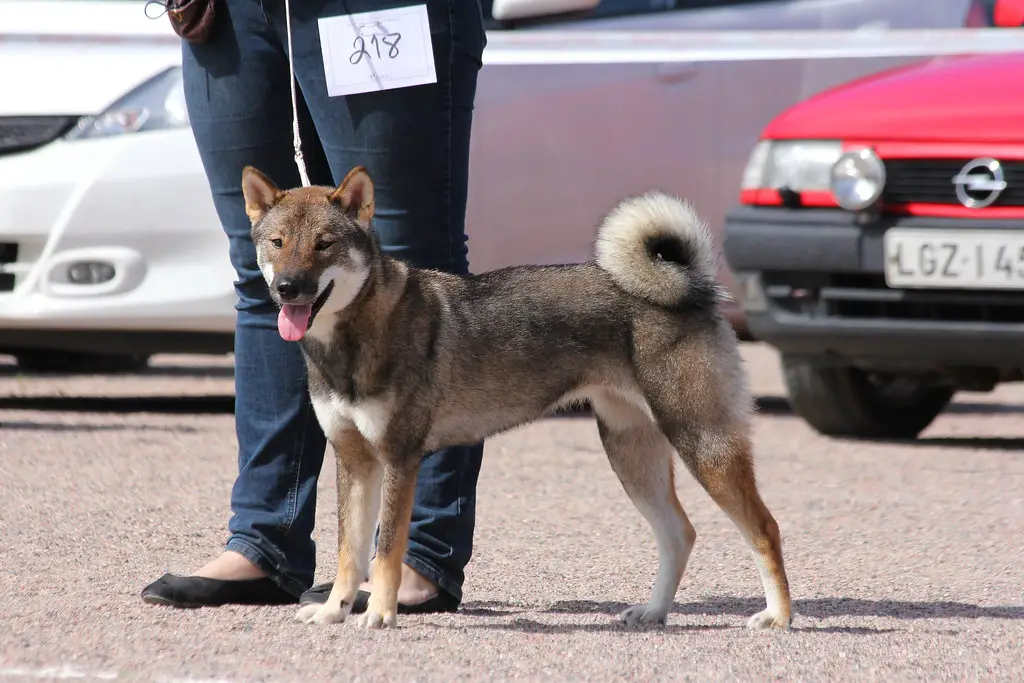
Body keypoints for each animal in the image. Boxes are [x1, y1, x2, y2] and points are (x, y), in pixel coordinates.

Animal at [239, 163, 790, 630]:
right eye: (278, 242)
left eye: (325, 244)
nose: (288, 288)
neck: (353, 336)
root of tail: (693, 290)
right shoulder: (354, 462)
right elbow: (349, 551)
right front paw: (334, 611)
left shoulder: (399, 458)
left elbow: (386, 550)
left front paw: (379, 614)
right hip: (632, 455)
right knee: (680, 534)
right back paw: (654, 612)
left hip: (702, 444)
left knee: (765, 528)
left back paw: (778, 617)